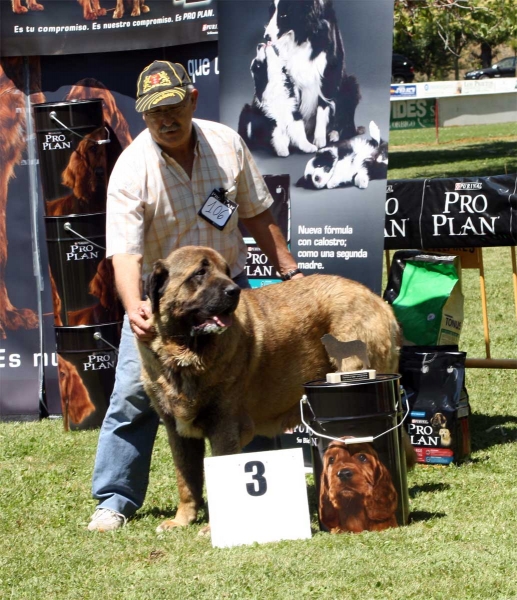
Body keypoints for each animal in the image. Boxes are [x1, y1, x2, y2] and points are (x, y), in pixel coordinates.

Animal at [138, 246, 412, 532]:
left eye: (225, 271)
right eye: (200, 273)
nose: (233, 291)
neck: (187, 353)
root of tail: (378, 300)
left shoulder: (223, 426)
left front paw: (213, 527)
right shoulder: (177, 430)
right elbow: (186, 480)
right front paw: (181, 520)